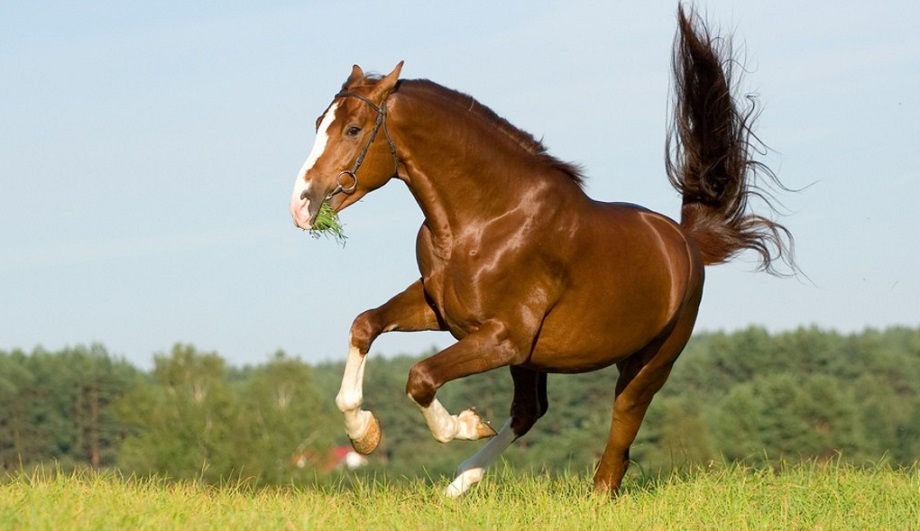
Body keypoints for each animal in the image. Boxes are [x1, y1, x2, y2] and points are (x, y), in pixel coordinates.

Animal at [289, 5, 793, 497]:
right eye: (317, 124)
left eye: (354, 129)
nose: (301, 204)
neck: (485, 220)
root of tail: (686, 241)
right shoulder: (444, 311)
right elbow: (365, 325)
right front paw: (363, 433)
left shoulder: (504, 337)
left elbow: (421, 377)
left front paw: (465, 423)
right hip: (535, 360)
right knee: (530, 411)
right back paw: (457, 487)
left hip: (650, 360)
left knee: (622, 420)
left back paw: (591, 491)